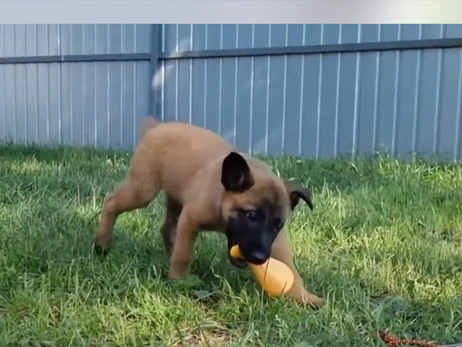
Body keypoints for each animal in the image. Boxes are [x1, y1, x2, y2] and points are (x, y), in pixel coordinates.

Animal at [94, 118, 322, 308]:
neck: (221, 202)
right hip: (143, 189)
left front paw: (303, 296)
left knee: (167, 228)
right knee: (112, 203)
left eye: (277, 225)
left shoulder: (277, 242)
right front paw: (179, 282)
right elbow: (184, 255)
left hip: (176, 198)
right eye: (251, 216)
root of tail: (157, 126)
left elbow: (290, 266)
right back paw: (101, 244)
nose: (259, 258)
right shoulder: (190, 221)